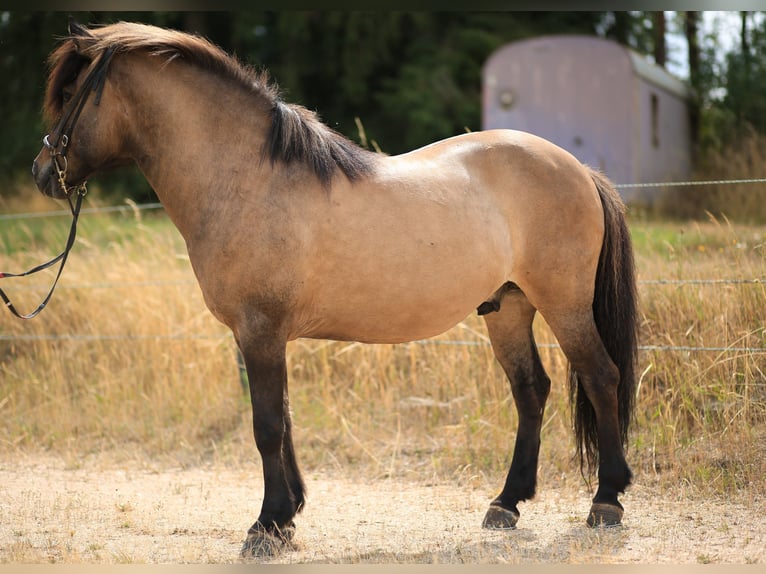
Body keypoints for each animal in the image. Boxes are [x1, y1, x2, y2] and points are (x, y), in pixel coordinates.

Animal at [30, 21, 640, 560]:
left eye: (71, 95)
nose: (41, 172)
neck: (247, 179)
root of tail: (578, 168)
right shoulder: (260, 336)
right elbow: (283, 420)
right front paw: (288, 515)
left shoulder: (260, 331)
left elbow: (267, 425)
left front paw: (266, 526)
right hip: (508, 307)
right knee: (531, 390)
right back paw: (506, 504)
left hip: (563, 303)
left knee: (601, 377)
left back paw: (606, 500)